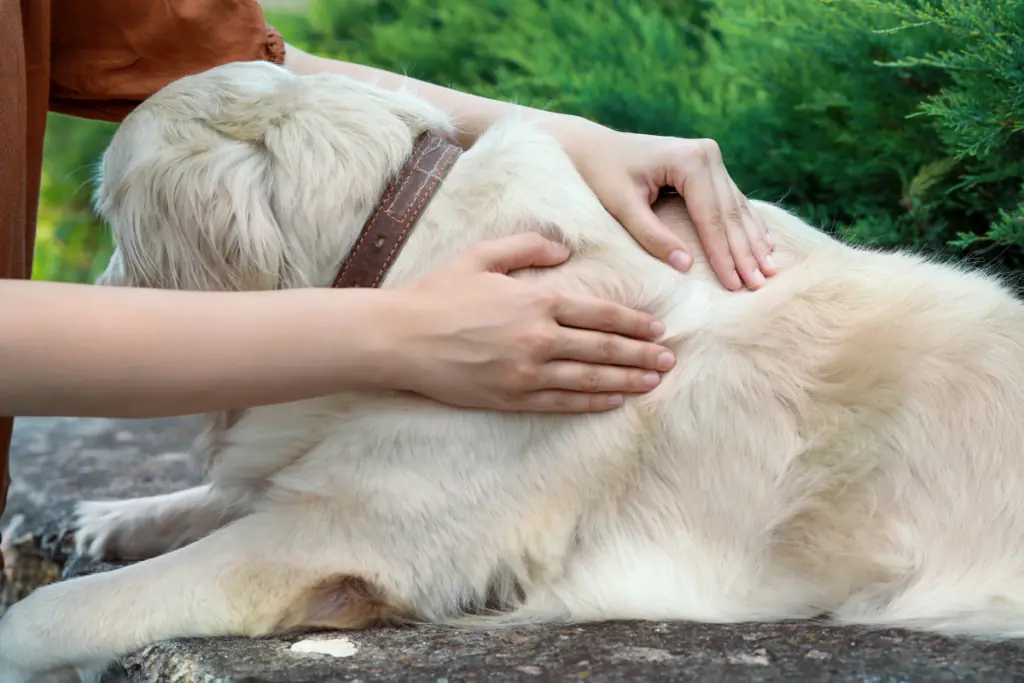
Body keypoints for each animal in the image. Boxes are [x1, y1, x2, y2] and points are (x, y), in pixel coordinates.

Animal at [2, 60, 1024, 683]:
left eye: (109, 219)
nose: (100, 296)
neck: (407, 244)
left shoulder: (337, 541)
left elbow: (77, 603)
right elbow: (221, 495)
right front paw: (120, 514)